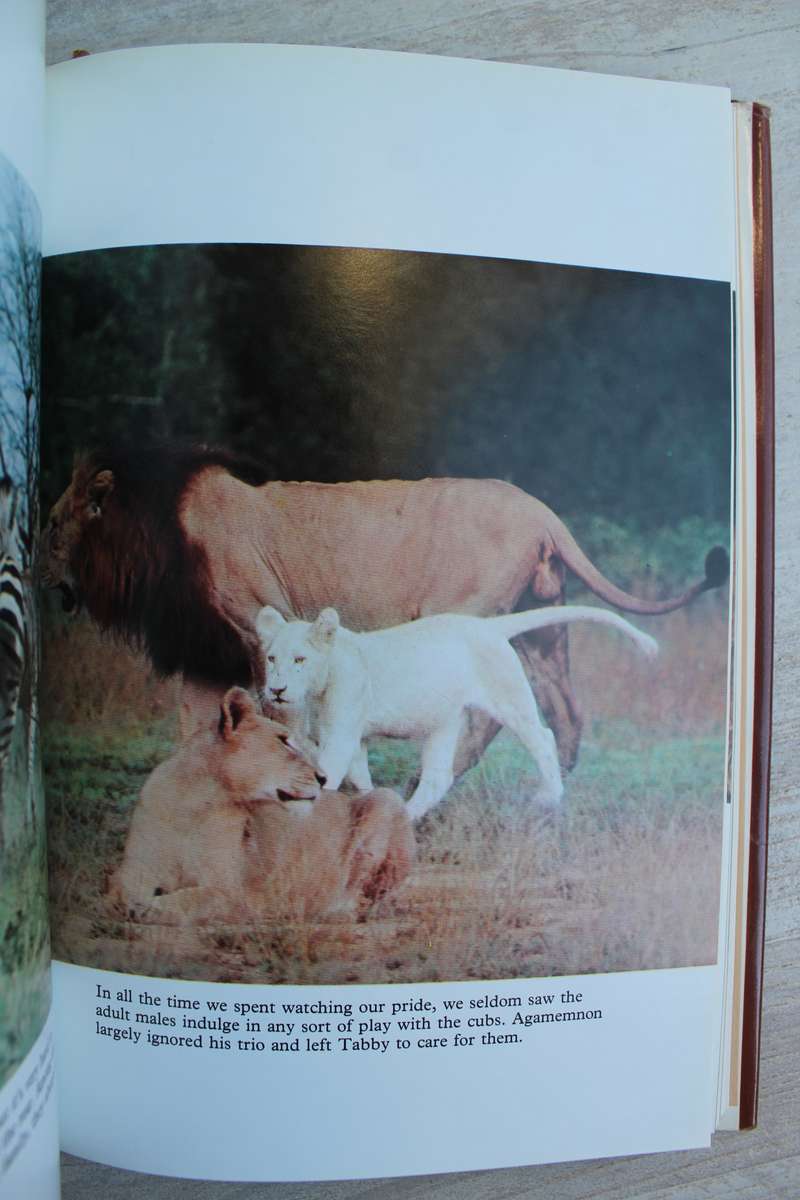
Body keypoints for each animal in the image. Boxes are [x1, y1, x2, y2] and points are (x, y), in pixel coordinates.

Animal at [42, 443, 728, 772]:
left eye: (55, 522)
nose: (37, 552)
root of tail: (543, 514)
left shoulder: (257, 626)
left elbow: (283, 721)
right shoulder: (204, 650)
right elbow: (194, 728)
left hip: (466, 620)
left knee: (485, 720)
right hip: (541, 626)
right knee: (567, 711)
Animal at [106, 687, 415, 925]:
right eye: (283, 742)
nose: (323, 778)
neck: (191, 803)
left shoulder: (230, 891)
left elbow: (189, 900)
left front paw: (148, 908)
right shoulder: (134, 870)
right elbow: (117, 891)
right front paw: (128, 903)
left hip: (385, 800)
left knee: (367, 896)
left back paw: (333, 911)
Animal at [256, 603, 657, 819]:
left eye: (300, 660)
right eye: (271, 658)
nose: (276, 690)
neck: (318, 686)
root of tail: (487, 624)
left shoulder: (341, 733)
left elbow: (328, 772)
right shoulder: (352, 736)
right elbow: (359, 775)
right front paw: (371, 807)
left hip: (508, 697)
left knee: (543, 738)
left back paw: (548, 797)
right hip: (443, 723)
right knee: (438, 777)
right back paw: (406, 816)